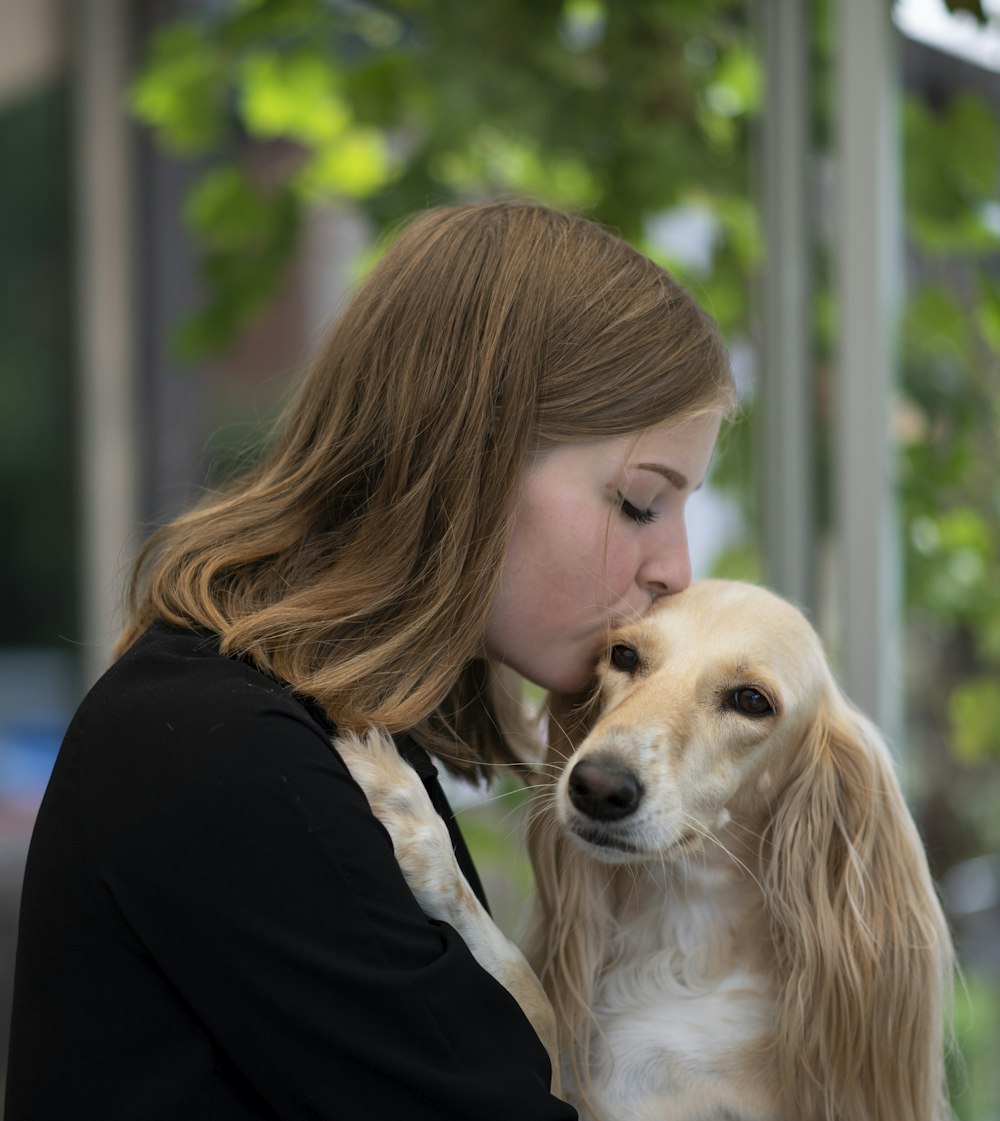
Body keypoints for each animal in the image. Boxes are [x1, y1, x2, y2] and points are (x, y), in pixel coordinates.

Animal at [334, 582, 955, 1121]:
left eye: (752, 700)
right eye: (624, 655)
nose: (598, 787)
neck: (678, 938)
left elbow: (532, 996)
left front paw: (412, 816)